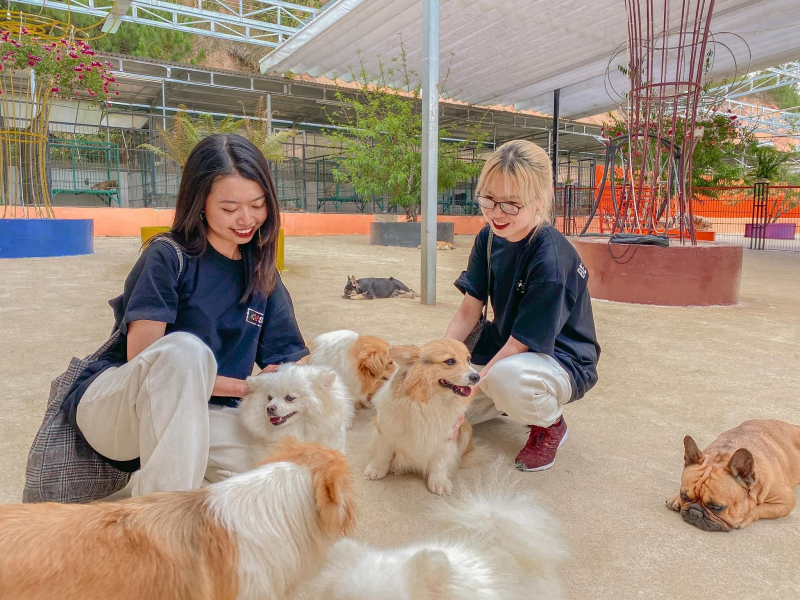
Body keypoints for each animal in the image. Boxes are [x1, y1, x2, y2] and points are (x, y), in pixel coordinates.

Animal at [364, 340, 482, 494]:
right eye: (450, 361)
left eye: (468, 359)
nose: (477, 377)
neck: (429, 403)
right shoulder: (385, 431)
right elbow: (382, 455)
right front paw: (376, 470)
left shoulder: (446, 438)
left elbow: (439, 463)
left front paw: (439, 482)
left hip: (466, 430)